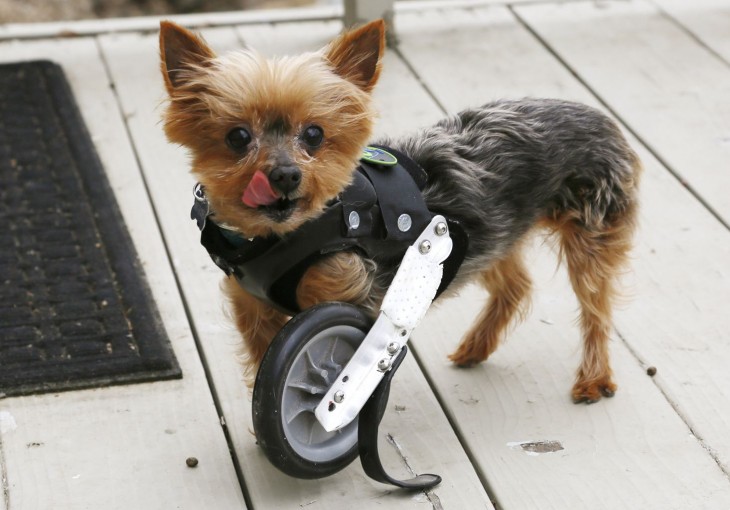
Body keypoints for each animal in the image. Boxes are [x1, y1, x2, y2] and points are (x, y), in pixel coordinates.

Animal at [158, 18, 636, 402]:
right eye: (237, 137)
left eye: (314, 134)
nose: (285, 175)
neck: (282, 237)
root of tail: (594, 113)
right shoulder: (251, 308)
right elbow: (264, 361)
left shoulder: (343, 295)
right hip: (488, 233)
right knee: (514, 285)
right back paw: (476, 347)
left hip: (590, 229)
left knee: (595, 306)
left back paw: (594, 379)